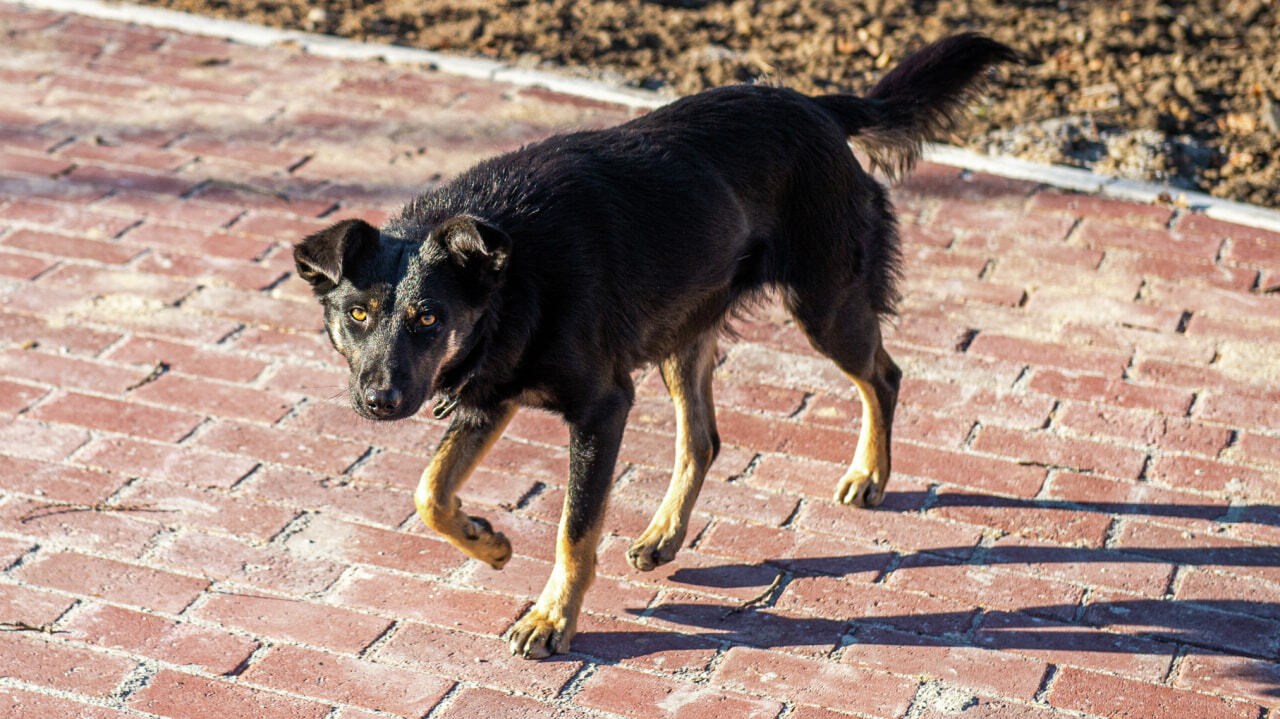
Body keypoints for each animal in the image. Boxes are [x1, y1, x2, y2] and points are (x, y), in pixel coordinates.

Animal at [294, 33, 1013, 655]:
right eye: (357, 314)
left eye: (427, 318)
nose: (380, 401)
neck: (514, 269)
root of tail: (814, 105)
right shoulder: (490, 390)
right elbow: (432, 492)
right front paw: (486, 540)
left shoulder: (600, 407)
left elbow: (574, 528)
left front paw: (553, 618)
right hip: (684, 332)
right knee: (704, 438)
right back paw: (665, 533)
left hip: (825, 307)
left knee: (883, 376)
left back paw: (869, 474)